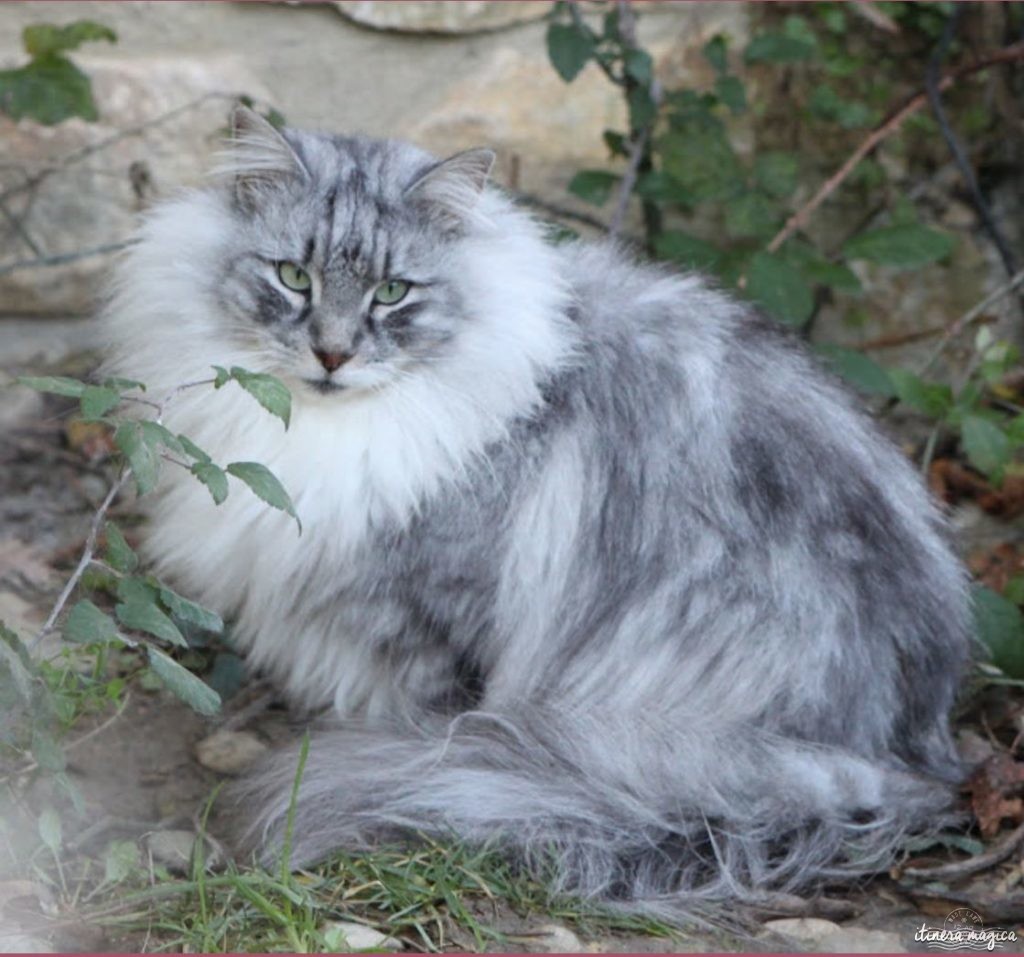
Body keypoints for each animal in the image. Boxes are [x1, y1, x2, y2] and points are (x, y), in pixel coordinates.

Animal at [99, 108, 970, 917]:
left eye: (393, 292)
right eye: (293, 277)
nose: (333, 354)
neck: (327, 430)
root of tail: (916, 757)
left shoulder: (433, 633)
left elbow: (426, 726)